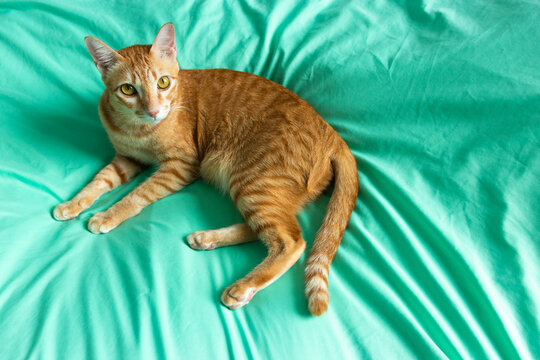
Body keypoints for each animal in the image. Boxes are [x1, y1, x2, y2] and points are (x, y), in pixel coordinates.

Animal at [53, 23, 358, 316]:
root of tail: (332, 133)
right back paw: (207, 239)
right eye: (128, 89)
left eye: (163, 83)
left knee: (291, 240)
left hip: (251, 181)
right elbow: (98, 181)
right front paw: (72, 204)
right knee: (267, 229)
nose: (154, 111)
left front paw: (108, 215)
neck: (137, 130)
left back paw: (241, 287)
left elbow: (137, 194)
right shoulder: (127, 160)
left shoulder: (181, 166)